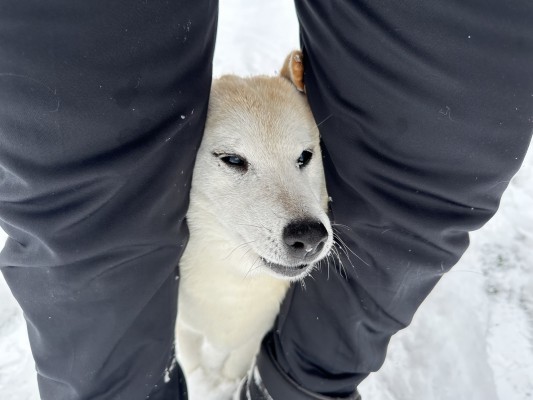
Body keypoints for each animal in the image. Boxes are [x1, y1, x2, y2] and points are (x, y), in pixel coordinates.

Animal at [177, 50, 330, 400]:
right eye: (233, 160)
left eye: (305, 156)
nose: (309, 236)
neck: (233, 287)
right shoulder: (184, 328)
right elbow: (190, 361)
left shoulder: (253, 338)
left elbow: (235, 368)